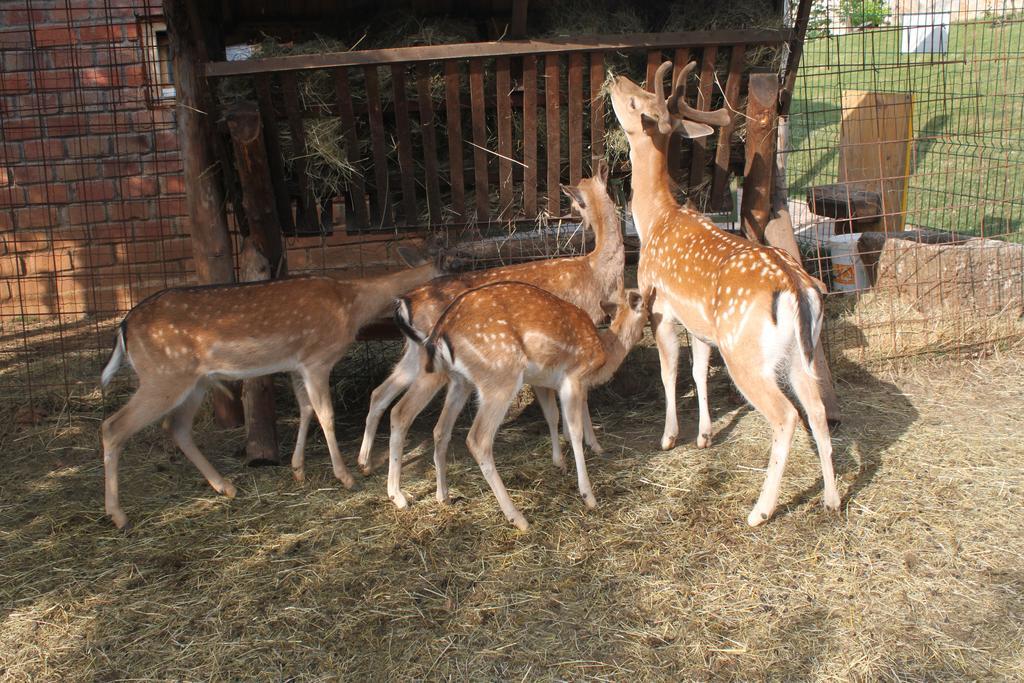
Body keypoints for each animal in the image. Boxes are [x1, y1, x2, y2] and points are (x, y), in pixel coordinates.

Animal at [96, 242, 444, 532]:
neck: (352, 305)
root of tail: (122, 328)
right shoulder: (318, 358)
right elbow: (326, 414)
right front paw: (346, 477)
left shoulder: (295, 364)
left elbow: (306, 409)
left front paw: (298, 469)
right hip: (163, 376)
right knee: (113, 427)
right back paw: (119, 516)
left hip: (193, 382)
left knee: (176, 427)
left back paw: (226, 487)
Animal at [356, 162, 622, 509]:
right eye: (577, 203)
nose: (580, 221)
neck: (595, 273)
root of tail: (403, 304)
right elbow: (581, 398)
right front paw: (594, 445)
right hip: (435, 366)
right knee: (401, 412)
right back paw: (399, 495)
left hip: (414, 355)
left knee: (380, 393)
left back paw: (365, 465)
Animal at [417, 280, 647, 532]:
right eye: (647, 309)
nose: (645, 333)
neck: (604, 353)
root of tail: (440, 332)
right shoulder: (573, 376)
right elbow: (574, 431)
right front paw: (588, 496)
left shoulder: (544, 382)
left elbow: (553, 417)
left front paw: (560, 463)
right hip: (500, 376)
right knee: (477, 439)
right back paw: (518, 518)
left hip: (460, 381)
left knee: (440, 430)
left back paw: (443, 496)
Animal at [606, 61, 839, 528]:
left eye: (636, 101)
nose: (614, 77)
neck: (654, 219)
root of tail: (797, 287)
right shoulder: (701, 327)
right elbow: (697, 373)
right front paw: (704, 436)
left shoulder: (661, 309)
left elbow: (670, 374)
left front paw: (669, 437)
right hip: (799, 355)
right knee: (818, 410)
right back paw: (832, 499)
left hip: (745, 353)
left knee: (786, 416)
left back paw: (760, 511)